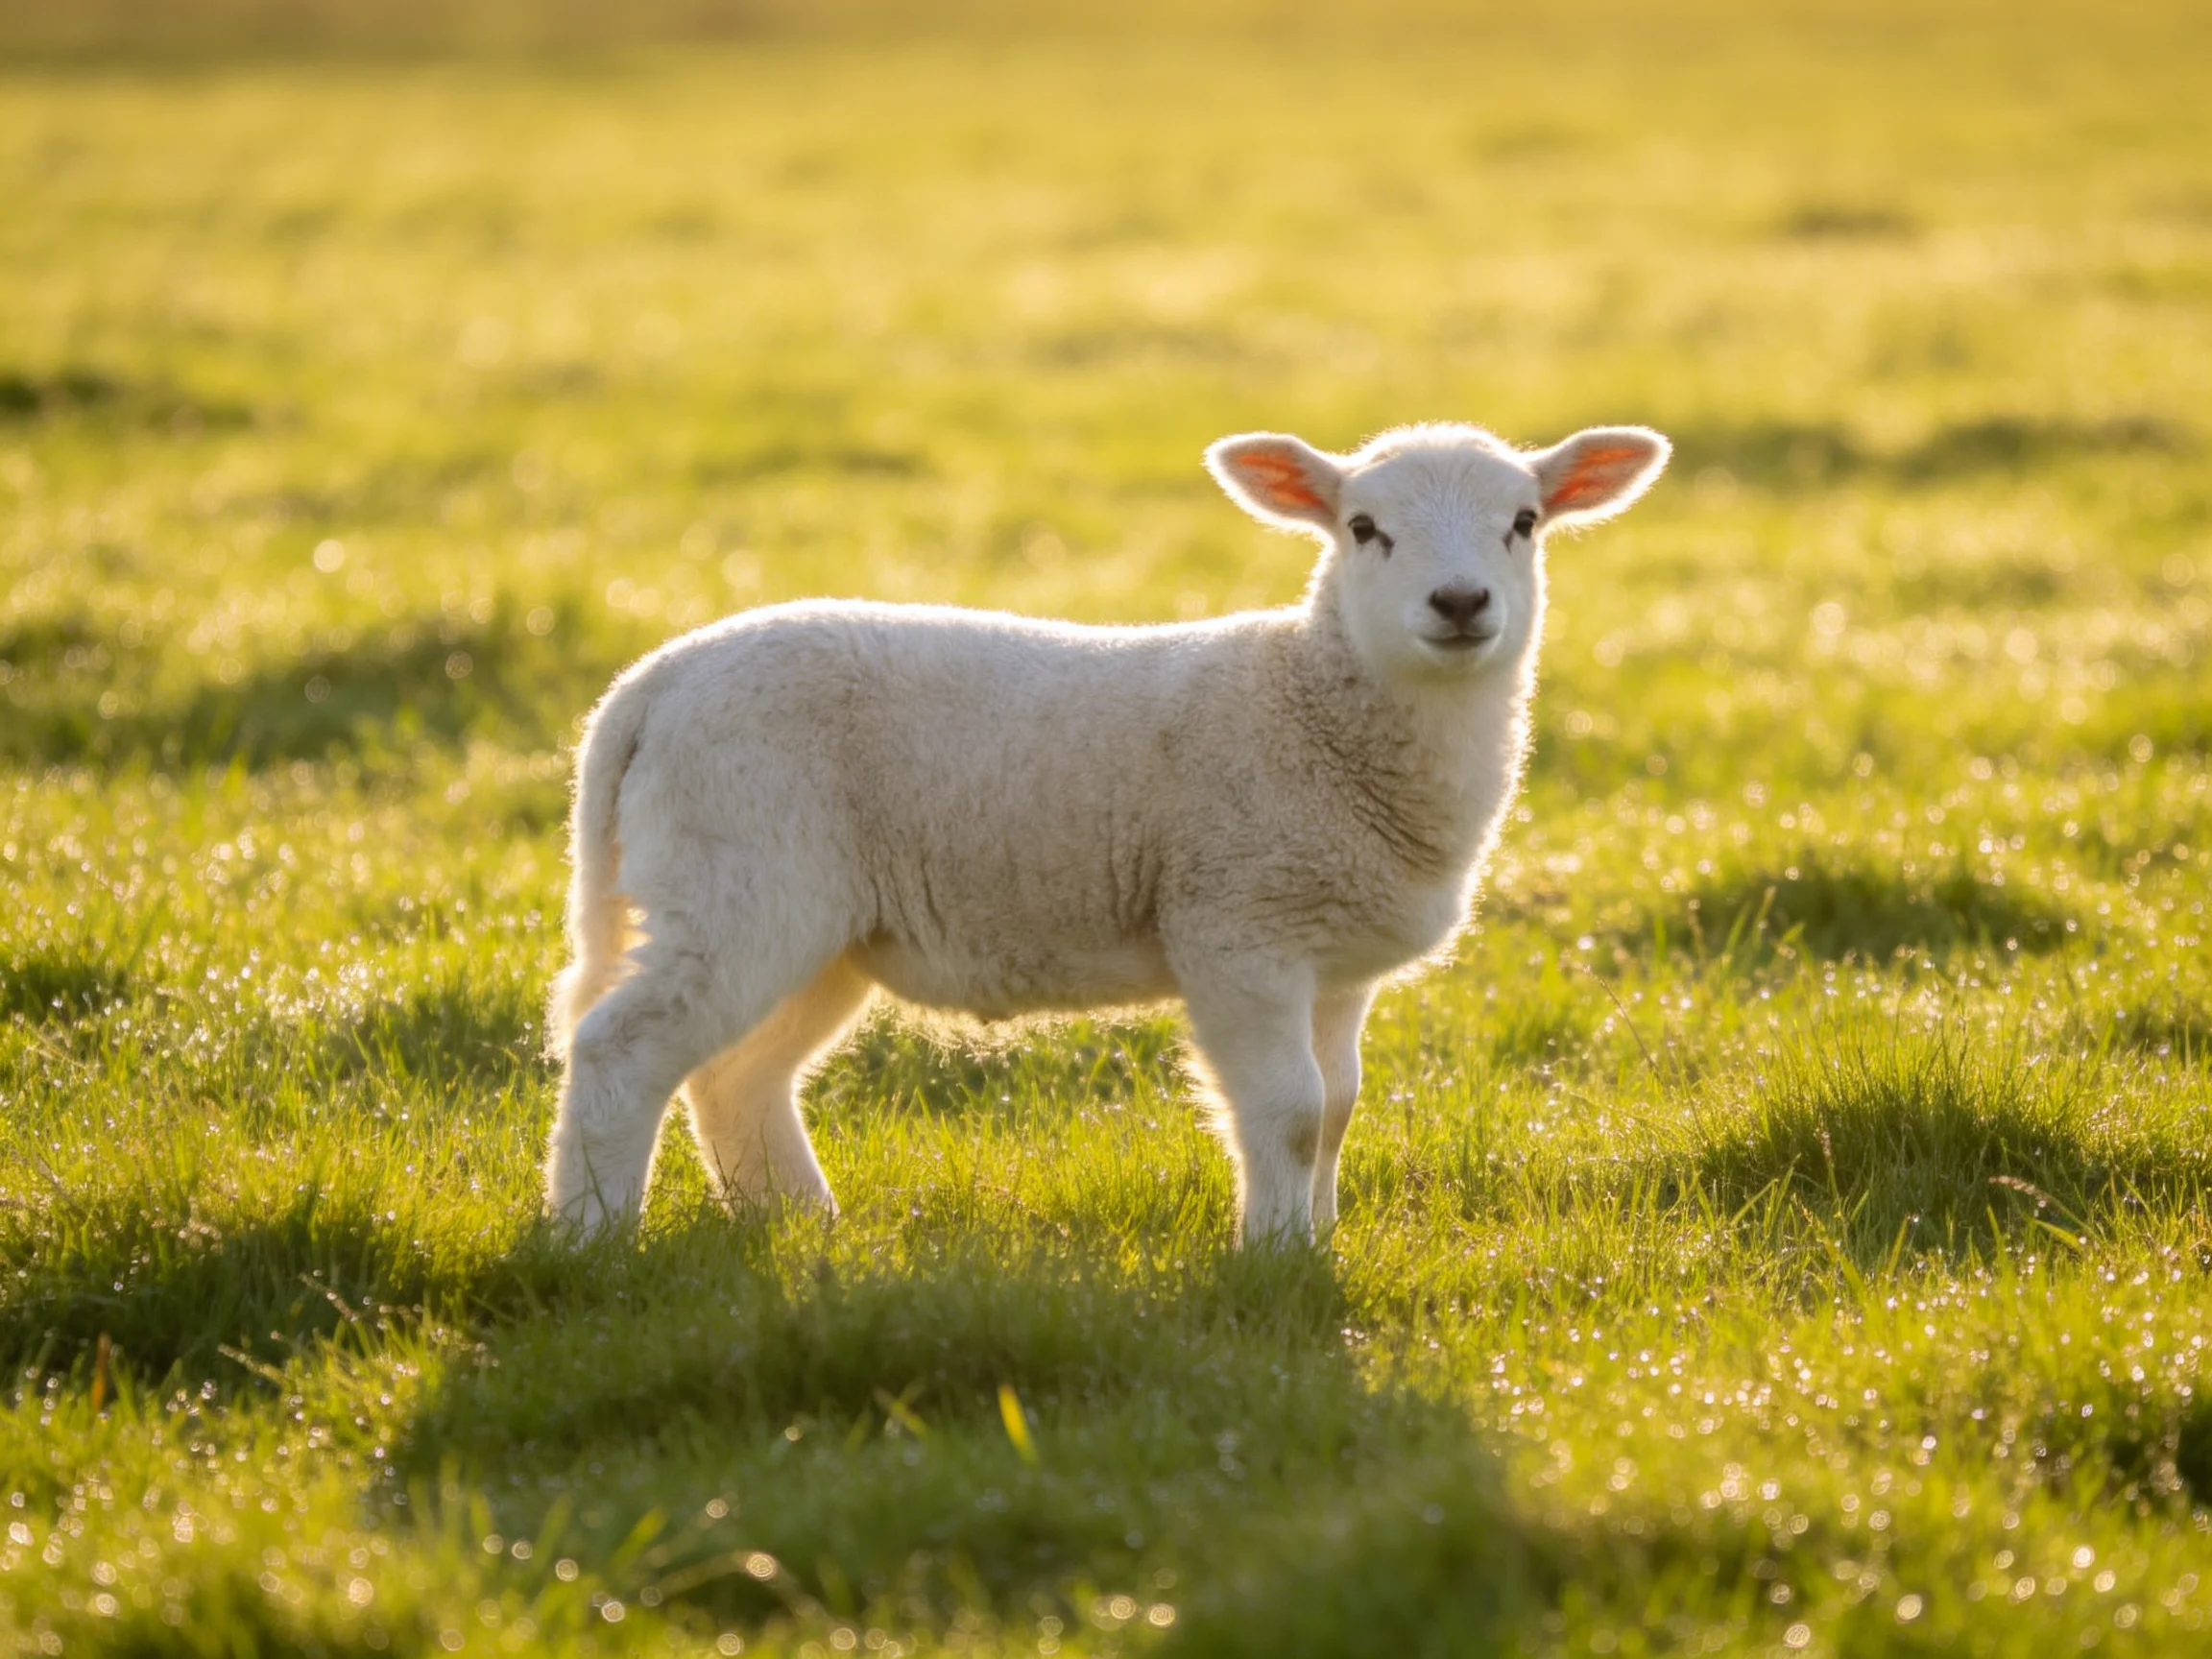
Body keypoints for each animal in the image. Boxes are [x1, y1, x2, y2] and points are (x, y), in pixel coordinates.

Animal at [543, 420, 1669, 1246]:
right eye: (1362, 528)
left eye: (1524, 521)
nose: (1461, 601)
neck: (1312, 704)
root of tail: (650, 683)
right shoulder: (1237, 927)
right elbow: (1290, 1112)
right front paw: (1275, 1259)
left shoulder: (1337, 958)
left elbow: (1340, 1108)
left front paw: (1319, 1239)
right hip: (740, 873)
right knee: (622, 1048)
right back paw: (591, 1239)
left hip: (814, 924)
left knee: (738, 1077)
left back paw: (802, 1227)